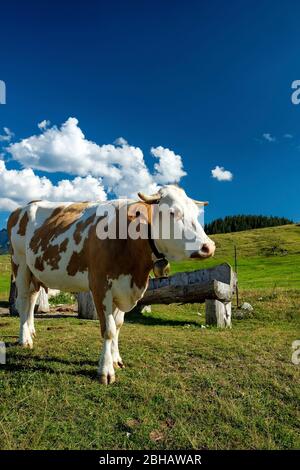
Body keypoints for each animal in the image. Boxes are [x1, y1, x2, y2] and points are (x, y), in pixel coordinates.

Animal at [8, 185, 214, 384]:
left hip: (35, 273)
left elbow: (118, 325)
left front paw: (116, 359)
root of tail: (22, 208)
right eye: (172, 212)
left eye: (196, 213)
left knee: (31, 300)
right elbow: (109, 329)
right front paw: (106, 370)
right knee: (23, 301)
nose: (209, 247)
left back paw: (31, 331)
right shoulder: (100, 286)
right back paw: (24, 339)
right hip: (20, 264)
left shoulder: (123, 288)